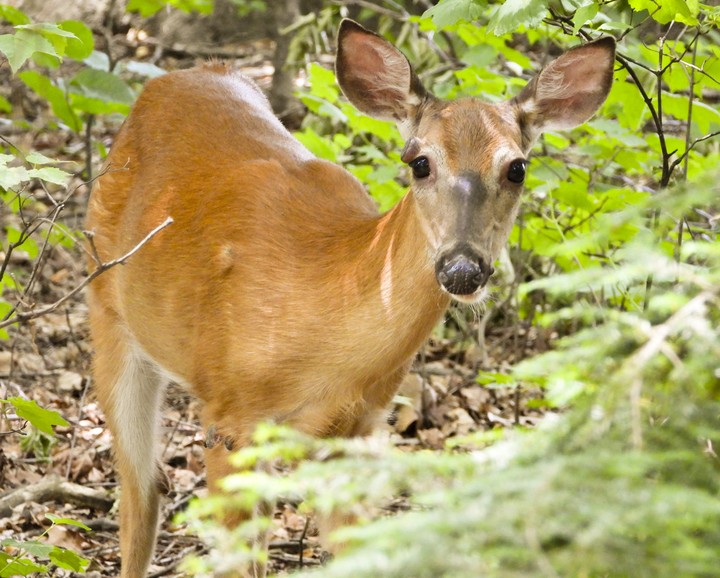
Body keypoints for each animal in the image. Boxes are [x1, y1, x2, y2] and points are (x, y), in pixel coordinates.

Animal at [85, 19, 615, 578]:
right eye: (419, 162)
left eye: (517, 168)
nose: (463, 268)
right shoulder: (228, 413)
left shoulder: (357, 429)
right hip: (107, 308)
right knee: (142, 492)